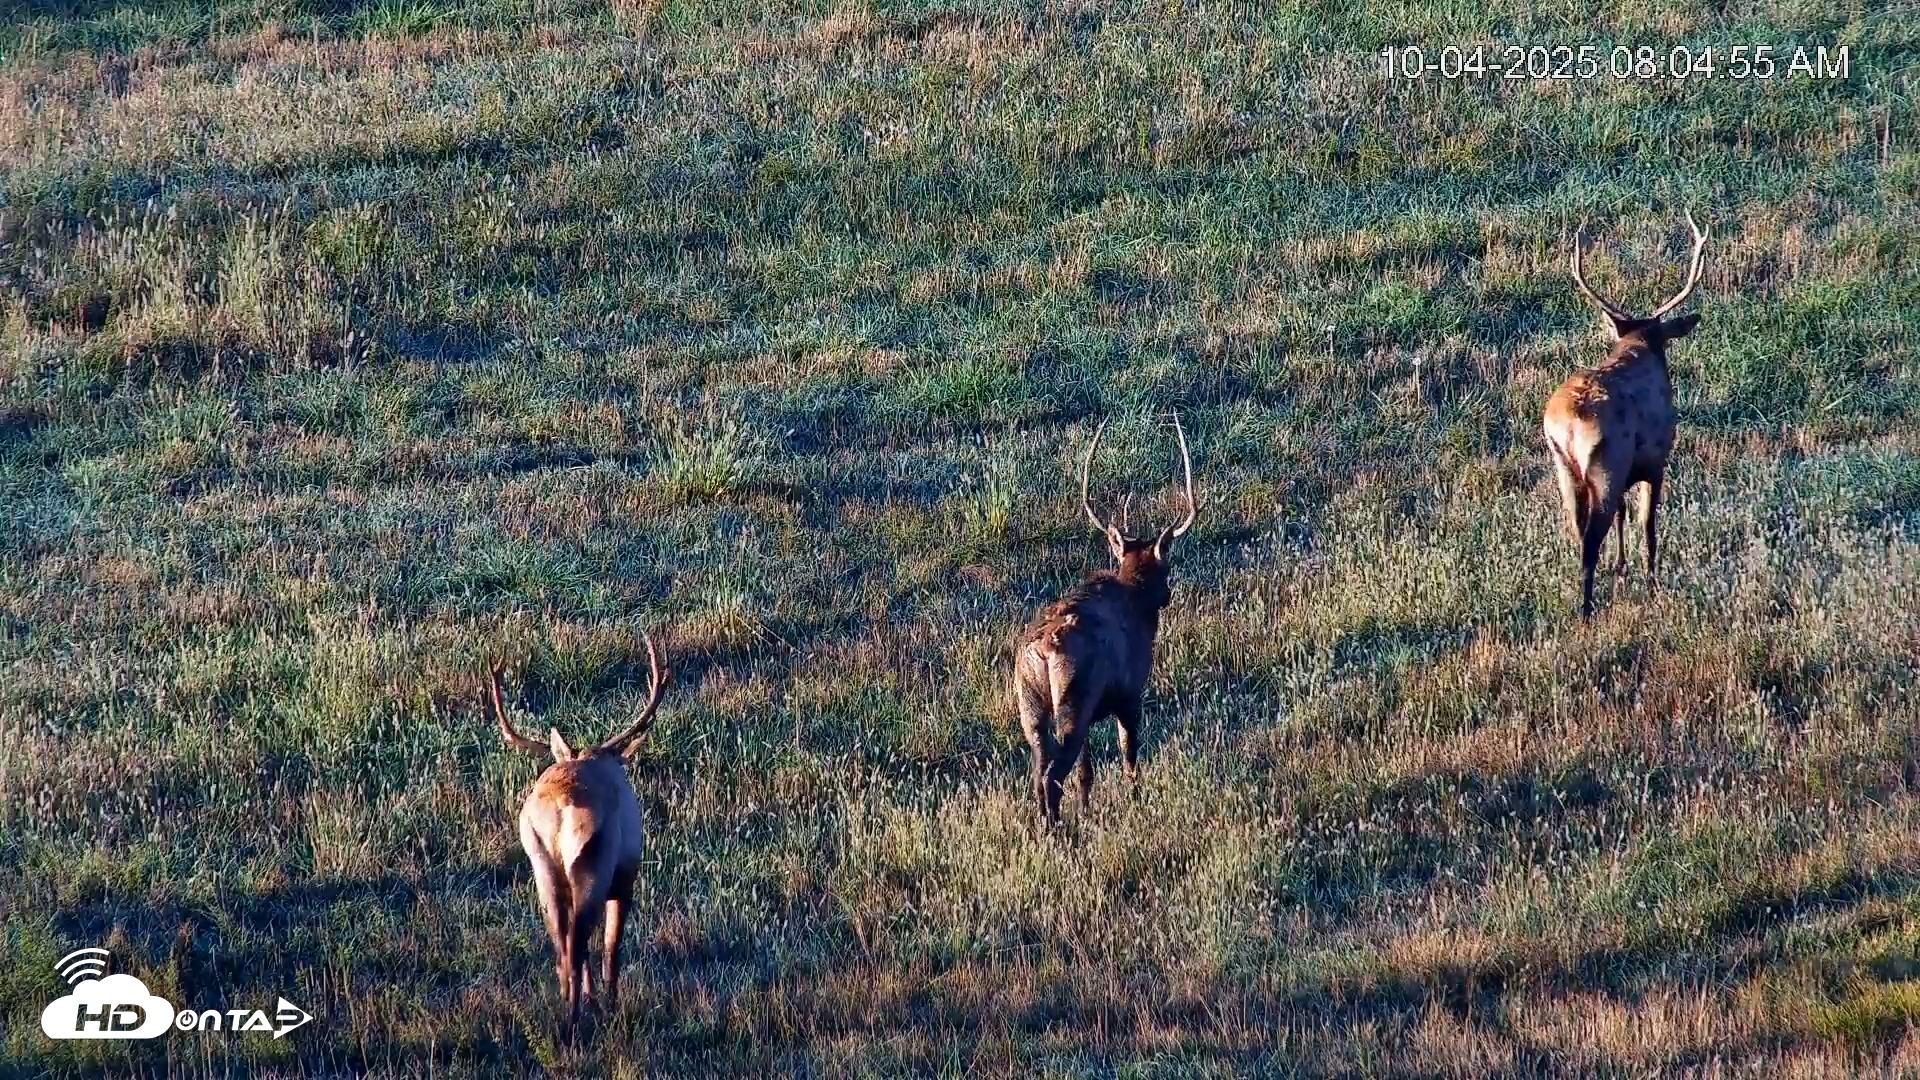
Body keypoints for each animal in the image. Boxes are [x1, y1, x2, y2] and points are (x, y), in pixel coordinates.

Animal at [487, 633, 669, 1034]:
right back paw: (577, 1022)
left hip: (542, 863)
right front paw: (611, 1006)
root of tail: (561, 804)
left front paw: (595, 1001)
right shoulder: (625, 877)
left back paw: (567, 1013)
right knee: (577, 943)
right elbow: (612, 949)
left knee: (562, 942)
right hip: (592, 861)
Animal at [1014, 414, 1197, 827]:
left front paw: (1087, 811)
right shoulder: (1131, 694)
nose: (1167, 596)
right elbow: (1130, 758)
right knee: (1052, 775)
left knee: (1039, 770)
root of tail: (1041, 653)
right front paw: (1137, 804)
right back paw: (1056, 831)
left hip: (1031, 705)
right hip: (1074, 699)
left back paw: (1045, 826)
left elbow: (1087, 773)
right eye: (1168, 568)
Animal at [1544, 211, 1710, 619]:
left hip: (1564, 467)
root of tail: (1569, 423)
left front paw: (1621, 568)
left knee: (1578, 530)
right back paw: (1586, 611)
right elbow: (1647, 524)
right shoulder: (1656, 459)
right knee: (1590, 540)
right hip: (1608, 462)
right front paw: (1651, 583)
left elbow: (1623, 513)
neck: (1637, 346)